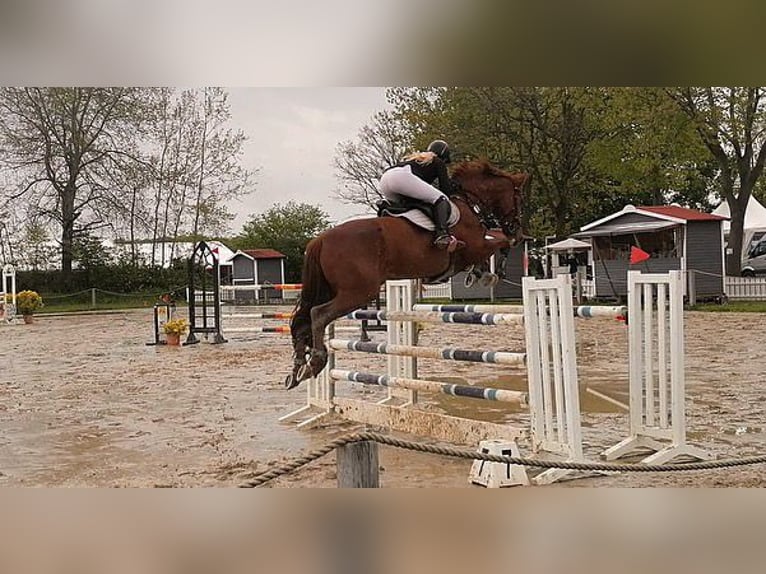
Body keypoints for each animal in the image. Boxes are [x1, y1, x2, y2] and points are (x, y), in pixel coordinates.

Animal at [284, 164, 532, 394]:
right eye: (519, 199)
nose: (519, 232)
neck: (468, 202)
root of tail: (320, 239)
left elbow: (497, 241)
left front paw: (481, 273)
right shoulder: (476, 246)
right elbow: (500, 241)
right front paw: (491, 271)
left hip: (331, 289)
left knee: (304, 320)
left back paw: (297, 369)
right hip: (358, 292)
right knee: (318, 314)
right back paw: (316, 361)